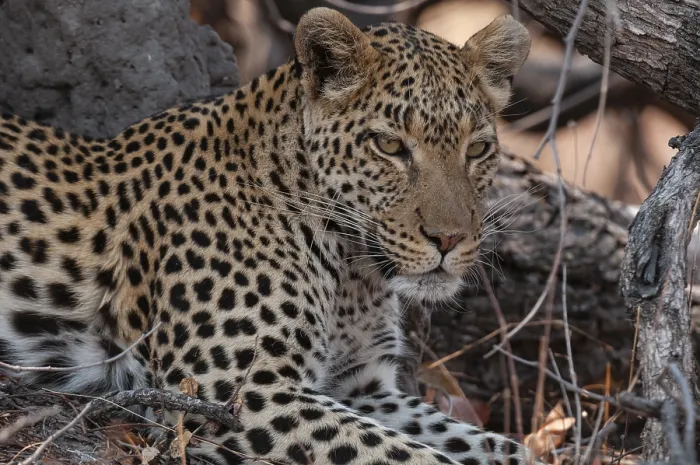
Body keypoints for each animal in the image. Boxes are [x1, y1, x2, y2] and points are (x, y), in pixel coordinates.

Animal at [0, 7, 539, 465]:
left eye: (478, 149)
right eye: (389, 146)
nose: (449, 240)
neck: (352, 275)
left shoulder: (363, 387)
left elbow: (495, 446)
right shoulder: (234, 393)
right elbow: (412, 455)